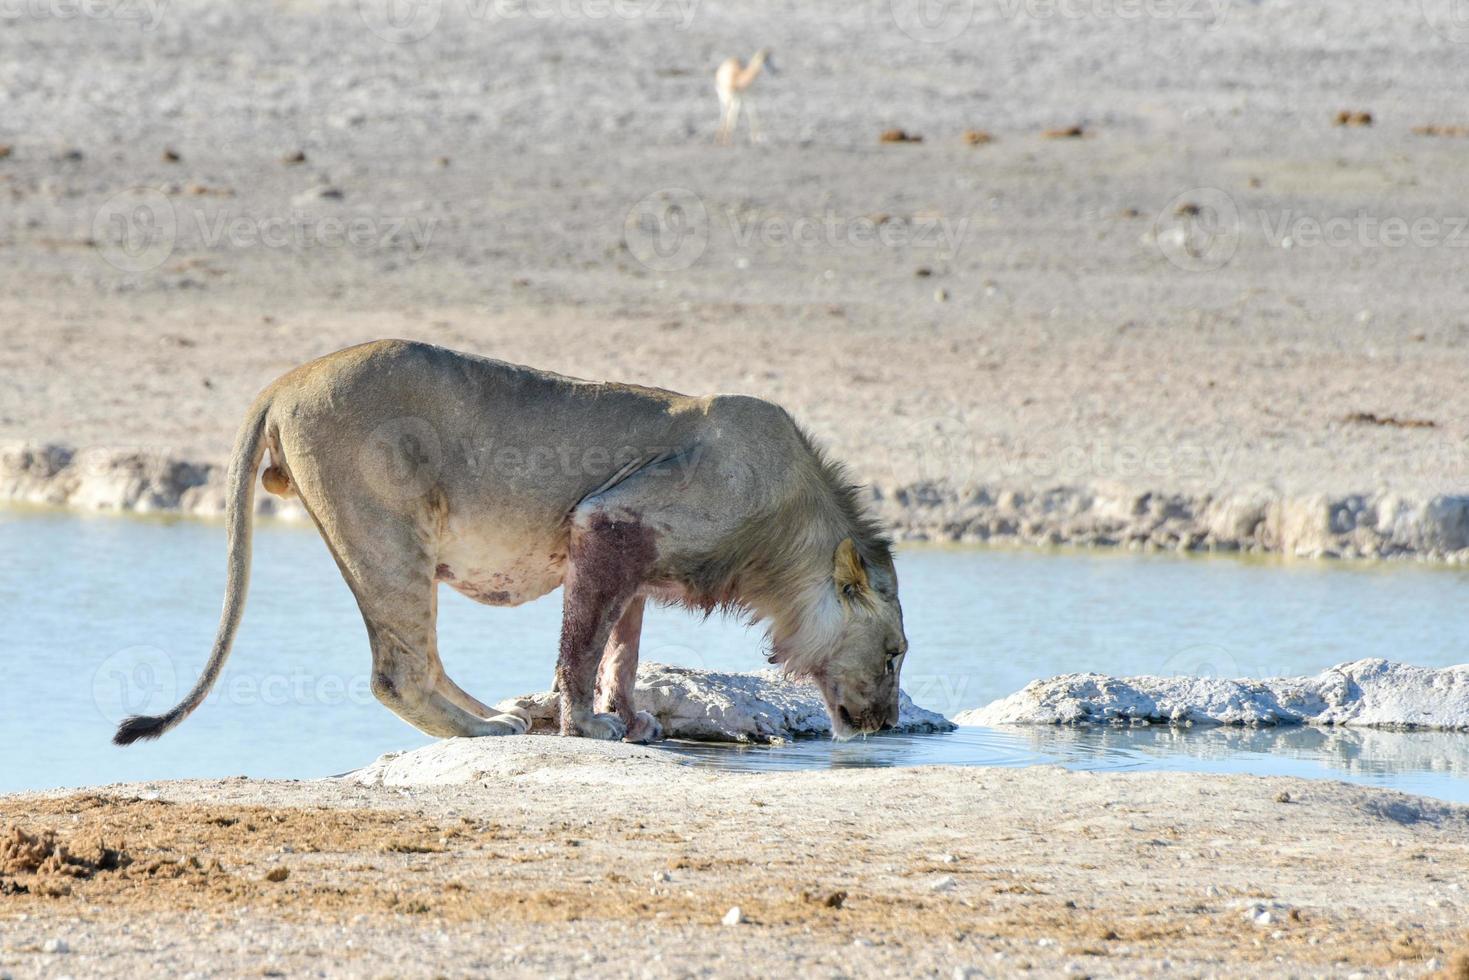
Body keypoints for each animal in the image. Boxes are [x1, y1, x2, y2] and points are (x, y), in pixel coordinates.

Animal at [114, 340, 910, 746]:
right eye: (895, 654)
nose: (890, 723)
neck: (788, 532)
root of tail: (284, 379)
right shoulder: (607, 518)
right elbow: (582, 647)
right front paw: (584, 724)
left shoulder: (633, 557)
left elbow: (621, 649)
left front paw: (630, 719)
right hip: (387, 534)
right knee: (397, 671)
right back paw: (485, 731)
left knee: (425, 658)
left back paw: (499, 715)